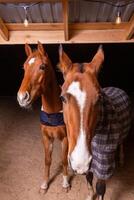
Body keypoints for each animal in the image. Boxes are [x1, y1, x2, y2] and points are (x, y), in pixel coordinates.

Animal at [17, 43, 69, 193]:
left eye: (42, 67)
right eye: (24, 67)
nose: (22, 97)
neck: (52, 111)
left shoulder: (65, 138)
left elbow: (64, 159)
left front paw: (65, 183)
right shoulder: (46, 138)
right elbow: (47, 160)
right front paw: (45, 183)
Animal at [58, 45, 130, 200]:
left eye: (99, 98)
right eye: (62, 98)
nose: (79, 162)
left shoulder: (103, 164)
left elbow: (100, 188)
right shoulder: (90, 163)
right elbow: (89, 179)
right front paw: (90, 195)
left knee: (122, 142)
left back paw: (121, 158)